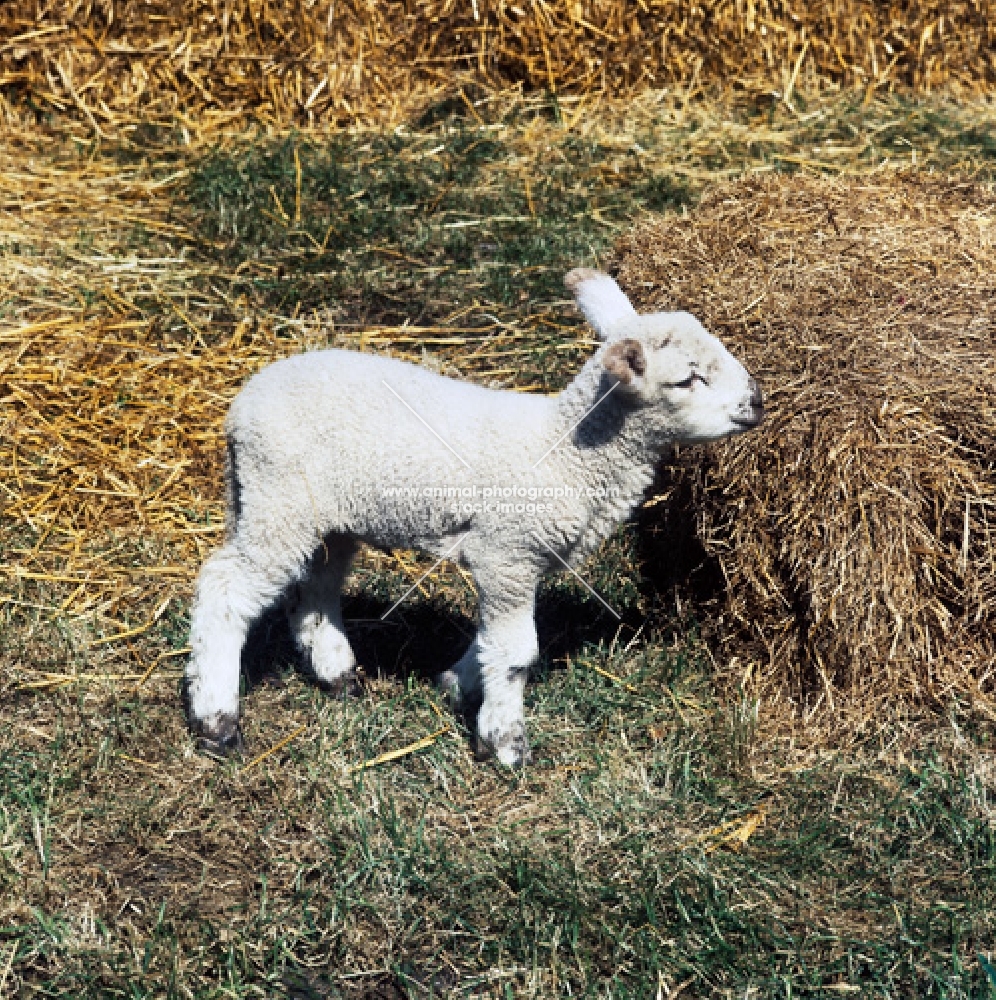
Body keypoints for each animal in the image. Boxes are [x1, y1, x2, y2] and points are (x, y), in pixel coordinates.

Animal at [185, 266, 764, 764]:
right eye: (688, 380)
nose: (757, 403)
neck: (566, 450)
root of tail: (241, 407)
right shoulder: (507, 553)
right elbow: (515, 652)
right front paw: (503, 742)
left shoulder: (511, 561)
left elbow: (490, 643)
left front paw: (458, 685)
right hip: (277, 499)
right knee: (225, 590)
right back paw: (216, 721)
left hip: (321, 514)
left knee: (316, 589)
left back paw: (338, 674)